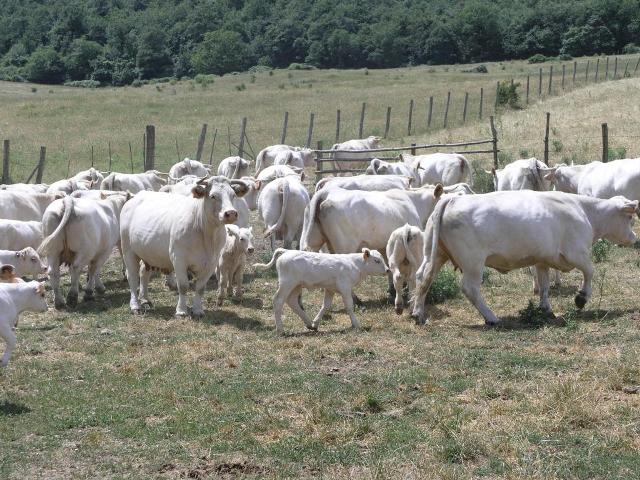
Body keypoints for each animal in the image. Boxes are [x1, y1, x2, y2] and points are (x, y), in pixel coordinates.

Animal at [120, 176, 248, 318]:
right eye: (213, 196)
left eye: (233, 195)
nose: (231, 213)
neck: (206, 235)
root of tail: (136, 197)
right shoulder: (179, 260)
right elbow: (183, 286)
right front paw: (181, 310)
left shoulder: (211, 263)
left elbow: (200, 288)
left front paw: (198, 310)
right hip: (128, 251)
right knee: (132, 277)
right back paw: (135, 305)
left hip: (148, 253)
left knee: (144, 273)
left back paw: (145, 299)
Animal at [255, 248, 390, 334]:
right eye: (377, 260)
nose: (388, 270)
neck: (354, 263)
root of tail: (287, 251)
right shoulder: (345, 287)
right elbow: (349, 306)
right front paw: (356, 324)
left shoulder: (330, 289)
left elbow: (326, 305)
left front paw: (315, 323)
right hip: (287, 284)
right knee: (278, 301)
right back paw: (280, 329)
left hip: (296, 286)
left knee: (292, 301)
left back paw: (308, 323)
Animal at [412, 191, 636, 326]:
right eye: (630, 218)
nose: (635, 238)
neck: (583, 210)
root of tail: (452, 199)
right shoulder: (576, 253)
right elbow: (590, 272)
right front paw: (581, 298)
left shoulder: (542, 260)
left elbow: (544, 286)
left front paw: (546, 309)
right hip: (473, 263)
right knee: (470, 288)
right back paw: (492, 317)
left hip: (434, 255)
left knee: (423, 278)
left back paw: (418, 313)